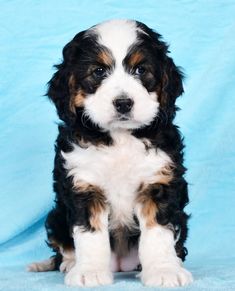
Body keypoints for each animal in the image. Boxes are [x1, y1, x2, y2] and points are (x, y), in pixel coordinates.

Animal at [28, 19, 193, 288]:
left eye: (140, 70)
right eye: (98, 72)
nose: (123, 103)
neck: (119, 138)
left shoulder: (158, 181)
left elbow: (158, 234)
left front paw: (164, 270)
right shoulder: (84, 183)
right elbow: (90, 236)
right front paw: (89, 272)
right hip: (56, 216)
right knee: (63, 247)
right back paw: (69, 263)